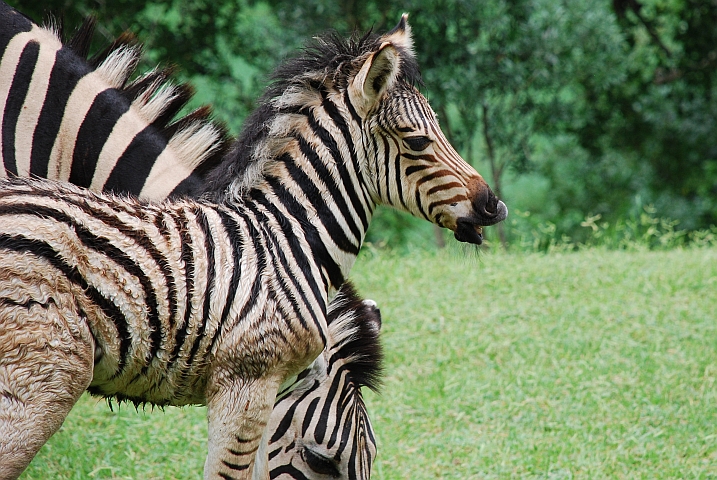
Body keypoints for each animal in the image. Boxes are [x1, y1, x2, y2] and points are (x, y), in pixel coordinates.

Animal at [0, 11, 504, 480]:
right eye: (418, 141)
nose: (494, 206)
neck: (287, 235)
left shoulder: (264, 392)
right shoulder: (246, 380)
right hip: (42, 381)